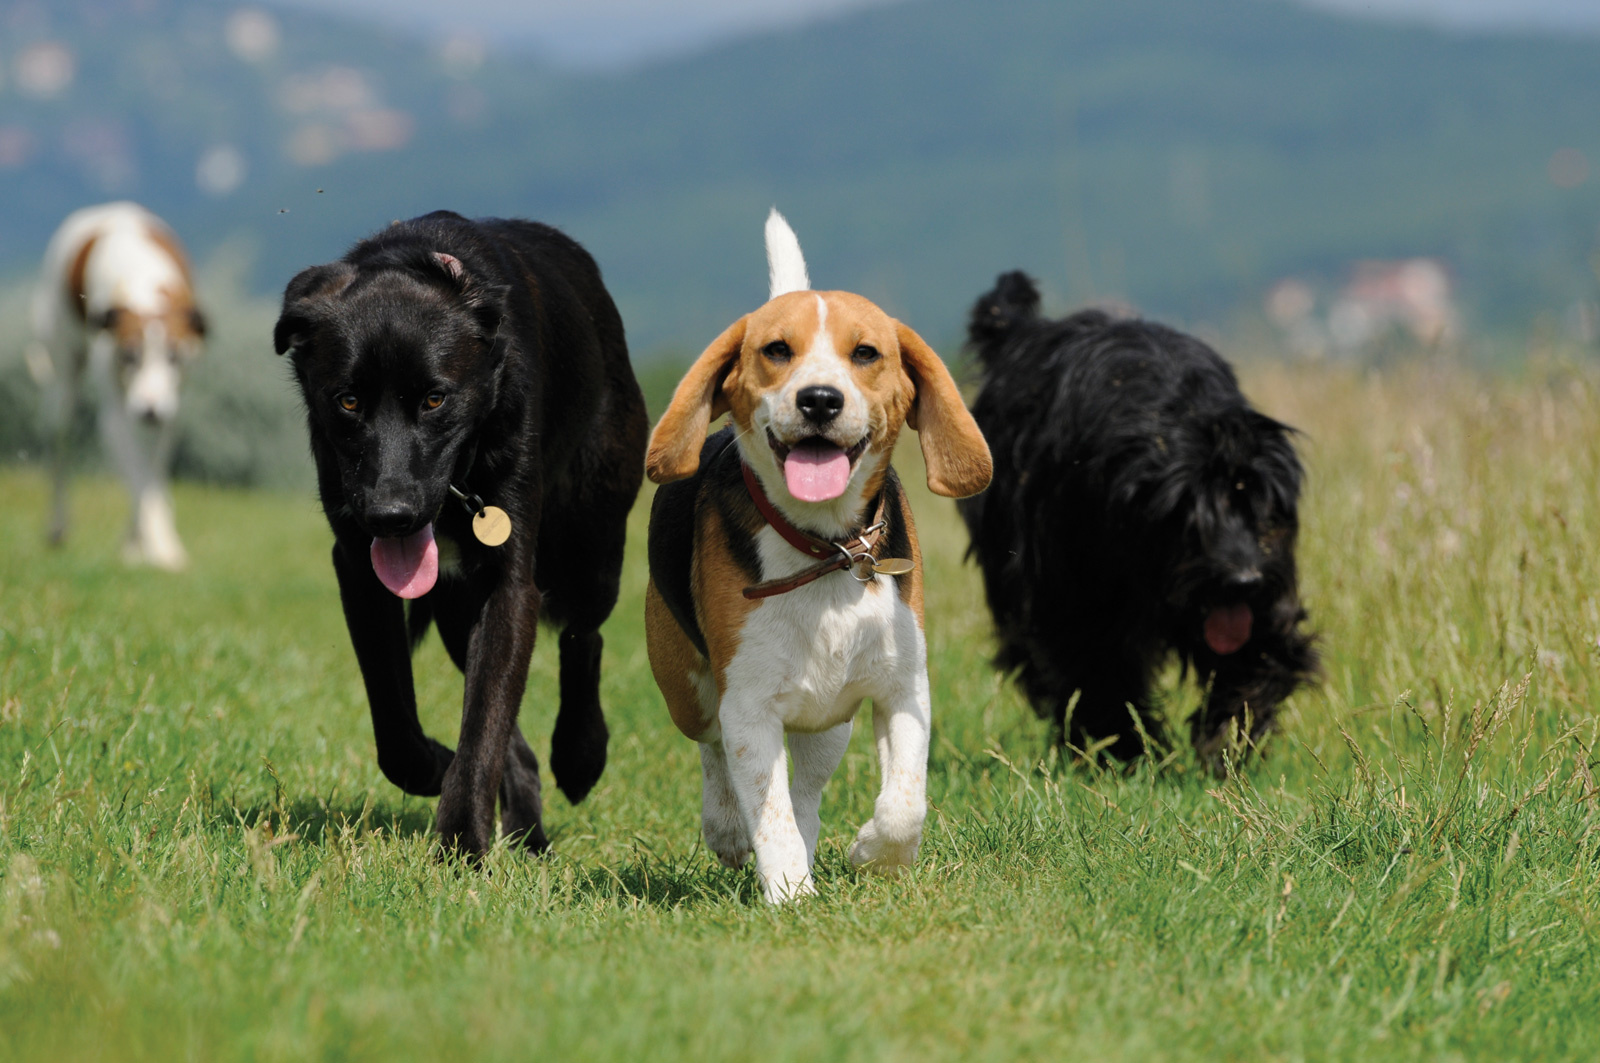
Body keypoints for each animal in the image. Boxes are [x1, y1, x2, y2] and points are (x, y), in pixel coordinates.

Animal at [30, 202, 206, 569]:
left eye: (175, 356)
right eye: (128, 356)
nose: (149, 411)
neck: (146, 286)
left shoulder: (171, 413)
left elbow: (151, 475)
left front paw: (141, 544)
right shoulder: (116, 418)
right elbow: (139, 477)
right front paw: (161, 549)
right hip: (62, 381)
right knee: (60, 441)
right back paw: (58, 526)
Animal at [643, 211, 992, 902]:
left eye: (866, 354)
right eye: (777, 350)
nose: (821, 400)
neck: (826, 548)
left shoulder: (904, 690)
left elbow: (904, 803)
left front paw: (873, 854)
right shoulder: (749, 706)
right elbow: (767, 809)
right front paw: (789, 895)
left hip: (829, 721)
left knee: (806, 791)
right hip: (688, 687)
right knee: (714, 752)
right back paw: (728, 832)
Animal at [960, 270, 1312, 771]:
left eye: (1261, 507)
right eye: (1185, 514)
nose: (1243, 581)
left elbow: (1261, 654)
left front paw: (1226, 736)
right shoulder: (1071, 593)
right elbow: (1096, 671)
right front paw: (1123, 750)